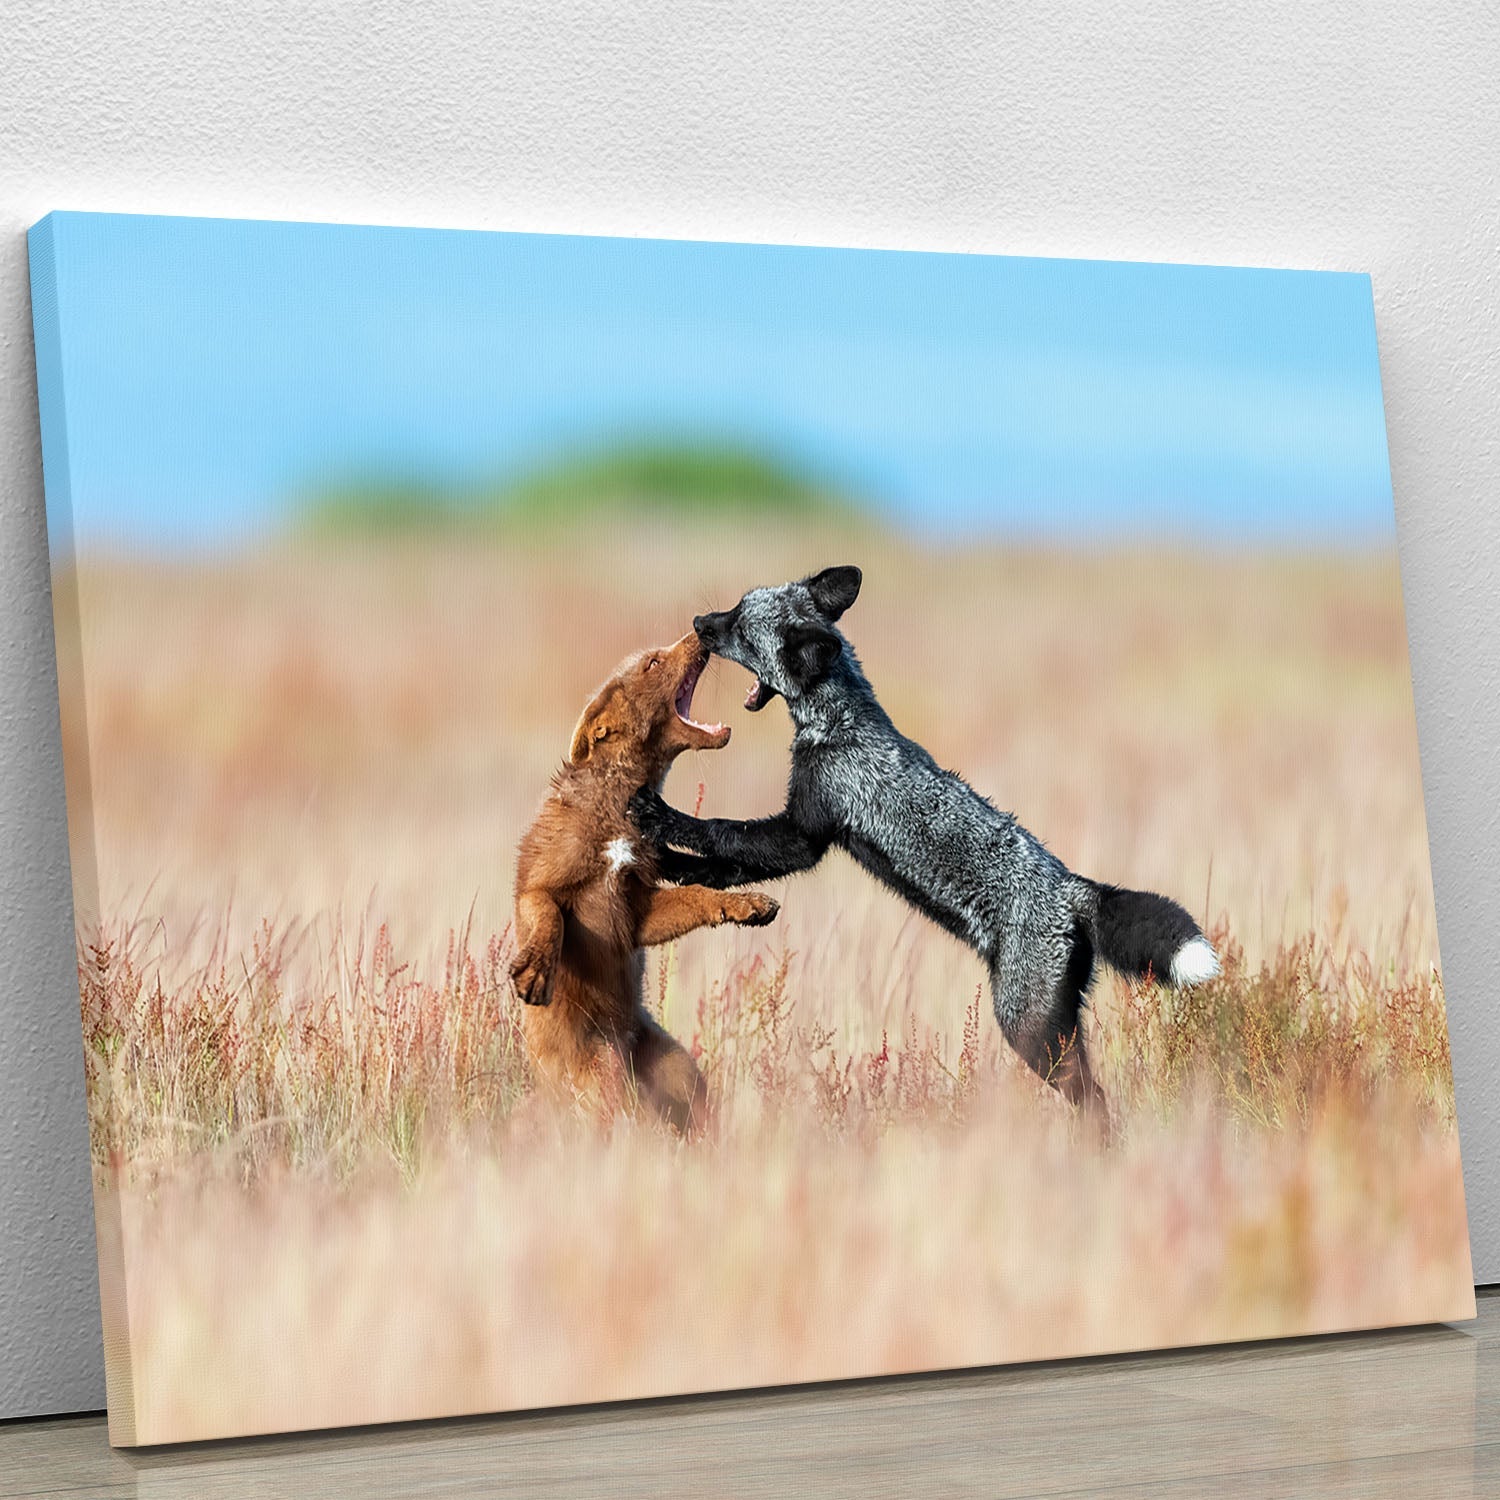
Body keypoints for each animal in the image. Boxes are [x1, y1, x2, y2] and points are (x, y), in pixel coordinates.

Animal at [511, 630, 780, 1135]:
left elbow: (692, 897)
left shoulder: (635, 905)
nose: (698, 631)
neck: (618, 811)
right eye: (653, 663)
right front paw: (533, 975)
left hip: (671, 1064)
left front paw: (754, 905)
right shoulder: (542, 877)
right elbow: (546, 911)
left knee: (692, 1107)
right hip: (597, 1066)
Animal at [630, 566, 1219, 1124]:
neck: (841, 724)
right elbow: (725, 867)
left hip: (1029, 1030)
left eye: (740, 628)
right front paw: (680, 872)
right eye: (736, 605)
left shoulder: (805, 831)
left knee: (1094, 1102)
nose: (699, 625)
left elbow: (721, 831)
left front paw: (660, 818)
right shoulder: (803, 834)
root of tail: (1075, 888)